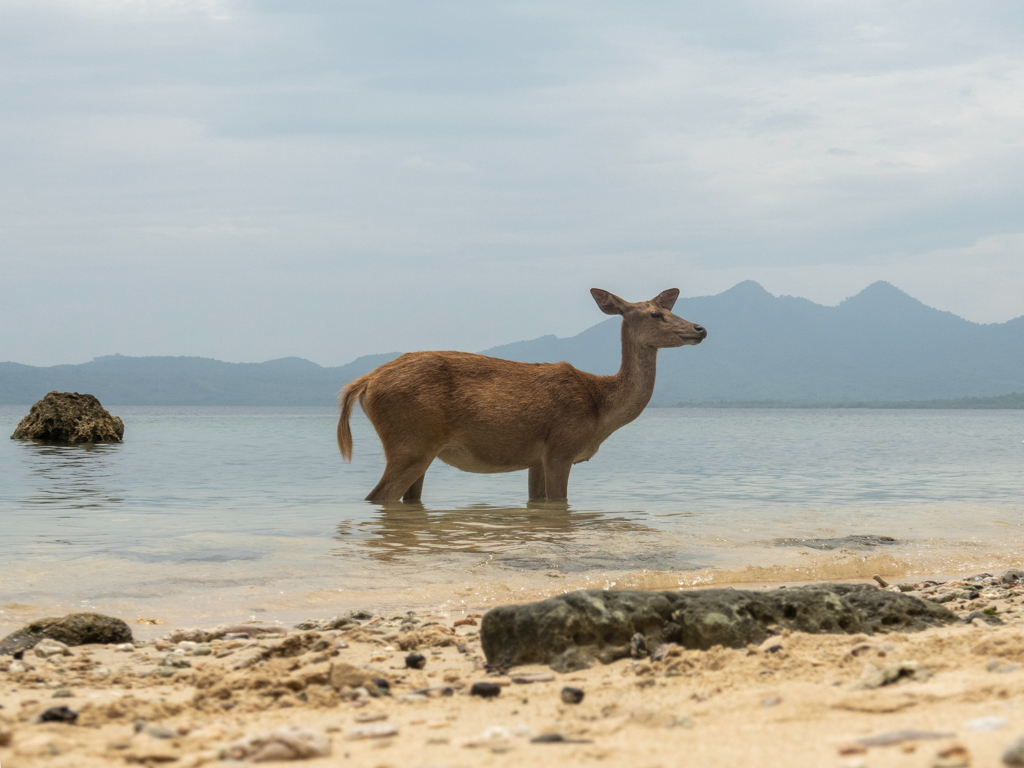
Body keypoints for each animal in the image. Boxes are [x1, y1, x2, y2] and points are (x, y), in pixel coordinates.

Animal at [335, 288, 704, 505]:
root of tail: (365, 383)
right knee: (378, 495)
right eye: (656, 314)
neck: (600, 411)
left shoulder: (535, 458)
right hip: (410, 440)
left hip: (418, 448)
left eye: (669, 308)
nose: (700, 328)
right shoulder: (560, 447)